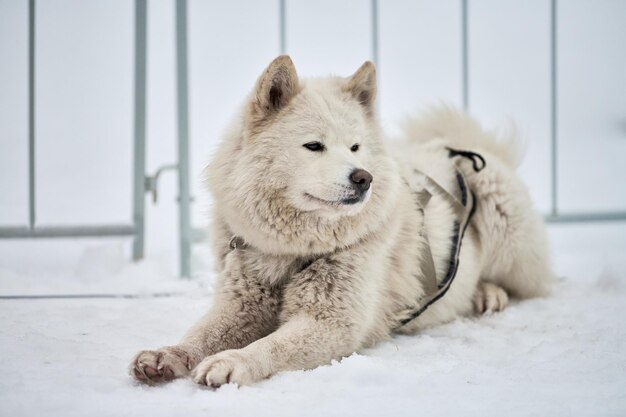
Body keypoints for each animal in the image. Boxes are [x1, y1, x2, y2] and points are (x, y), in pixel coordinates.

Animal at [128, 55, 552, 386]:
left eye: (355, 147)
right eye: (314, 146)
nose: (363, 177)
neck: (291, 250)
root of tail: (464, 147)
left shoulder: (331, 321)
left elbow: (271, 345)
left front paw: (234, 361)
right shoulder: (241, 304)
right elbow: (201, 334)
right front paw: (167, 355)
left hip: (503, 221)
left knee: (531, 285)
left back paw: (489, 293)